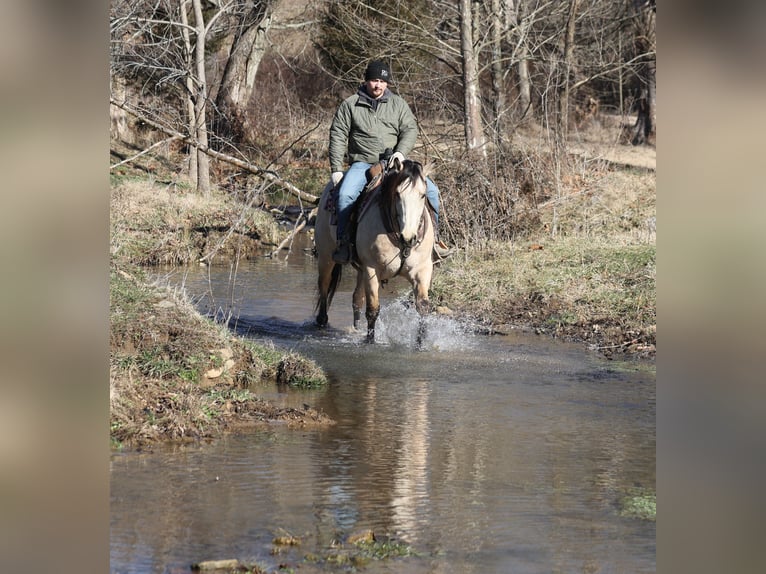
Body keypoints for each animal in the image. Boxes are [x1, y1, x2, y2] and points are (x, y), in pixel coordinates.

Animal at [314, 157, 435, 343]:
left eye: (423, 195)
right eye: (397, 194)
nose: (408, 237)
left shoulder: (422, 270)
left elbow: (423, 307)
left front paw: (420, 344)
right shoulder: (372, 270)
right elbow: (373, 310)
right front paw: (370, 342)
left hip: (360, 269)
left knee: (357, 298)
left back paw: (355, 328)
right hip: (326, 257)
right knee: (324, 286)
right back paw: (322, 322)